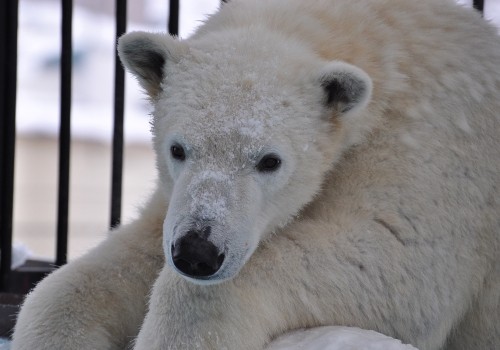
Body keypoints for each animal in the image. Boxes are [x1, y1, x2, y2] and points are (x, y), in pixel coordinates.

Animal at [10, 0, 500, 348]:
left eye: (269, 160)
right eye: (178, 149)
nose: (197, 252)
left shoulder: (429, 150)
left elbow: (396, 261)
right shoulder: (176, 199)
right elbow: (110, 266)